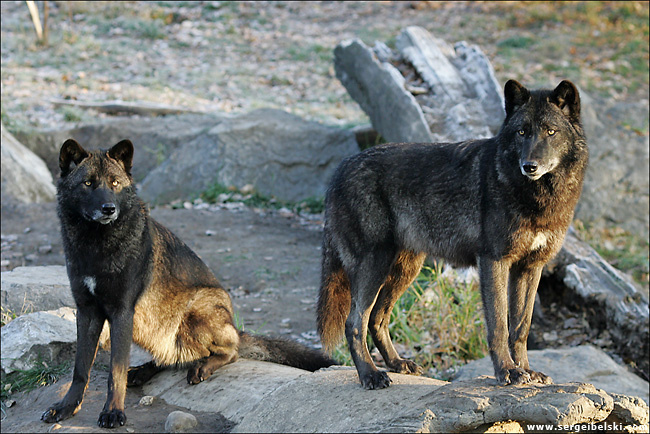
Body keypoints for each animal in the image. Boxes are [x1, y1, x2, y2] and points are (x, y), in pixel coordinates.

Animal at [41, 139, 335, 428]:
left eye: (114, 183)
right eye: (88, 183)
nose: (109, 209)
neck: (96, 245)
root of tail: (234, 324)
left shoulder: (121, 312)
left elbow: (115, 371)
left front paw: (113, 413)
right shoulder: (87, 312)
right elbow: (81, 369)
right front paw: (66, 407)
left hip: (193, 315)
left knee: (229, 351)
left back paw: (203, 367)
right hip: (153, 327)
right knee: (172, 356)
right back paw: (142, 372)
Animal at [317, 80, 588, 390]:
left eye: (551, 132)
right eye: (522, 132)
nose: (529, 166)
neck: (538, 198)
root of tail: (340, 169)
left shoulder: (530, 267)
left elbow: (520, 327)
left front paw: (528, 371)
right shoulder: (494, 261)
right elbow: (499, 324)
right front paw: (507, 371)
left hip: (405, 270)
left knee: (376, 318)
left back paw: (397, 363)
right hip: (376, 264)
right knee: (354, 322)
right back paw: (370, 374)